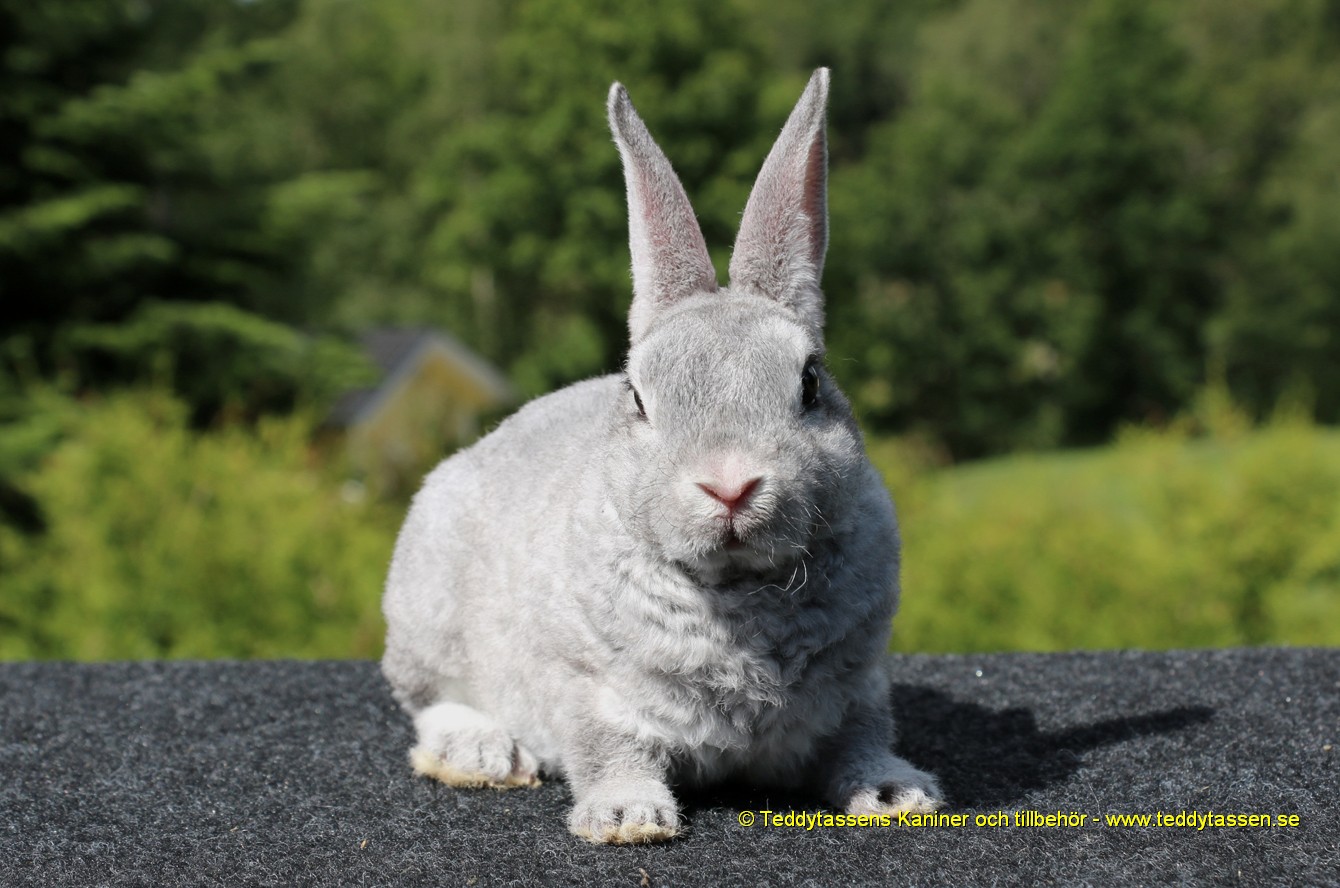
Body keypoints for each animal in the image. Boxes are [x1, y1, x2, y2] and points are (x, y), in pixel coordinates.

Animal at [377, 69, 943, 846]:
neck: (738, 591)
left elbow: (861, 739)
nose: (730, 485)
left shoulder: (858, 689)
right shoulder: (590, 688)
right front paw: (626, 820)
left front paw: (895, 795)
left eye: (810, 382)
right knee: (426, 703)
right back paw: (485, 755)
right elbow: (609, 747)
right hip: (425, 613)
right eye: (639, 397)